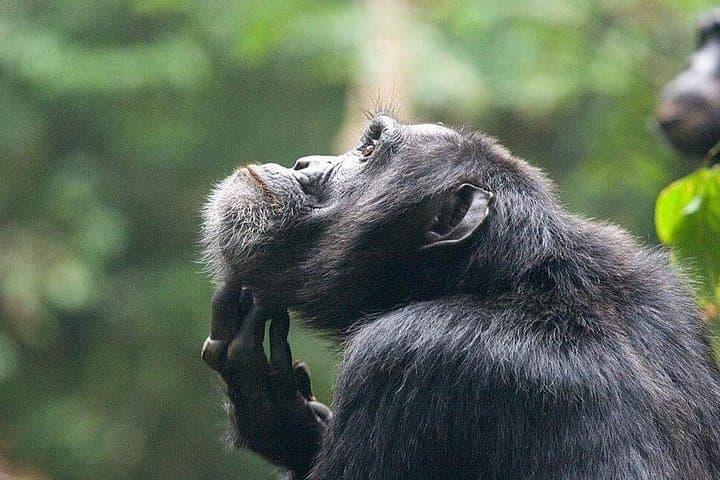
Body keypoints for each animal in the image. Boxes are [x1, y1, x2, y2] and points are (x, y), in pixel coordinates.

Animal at [201, 114, 720, 479]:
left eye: (368, 149)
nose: (305, 163)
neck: (502, 281)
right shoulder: (664, 292)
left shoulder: (405, 356)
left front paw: (273, 416)